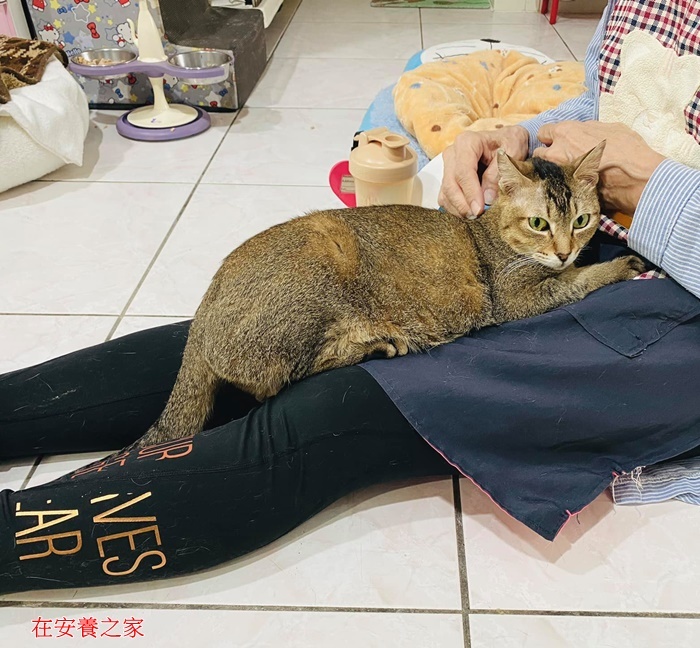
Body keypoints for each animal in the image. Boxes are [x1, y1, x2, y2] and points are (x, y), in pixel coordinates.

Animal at [137, 141, 645, 447]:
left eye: (581, 220)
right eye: (539, 223)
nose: (563, 250)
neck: (490, 234)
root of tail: (205, 309)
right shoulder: (515, 298)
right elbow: (576, 281)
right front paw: (619, 266)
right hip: (319, 267)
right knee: (281, 377)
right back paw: (379, 343)